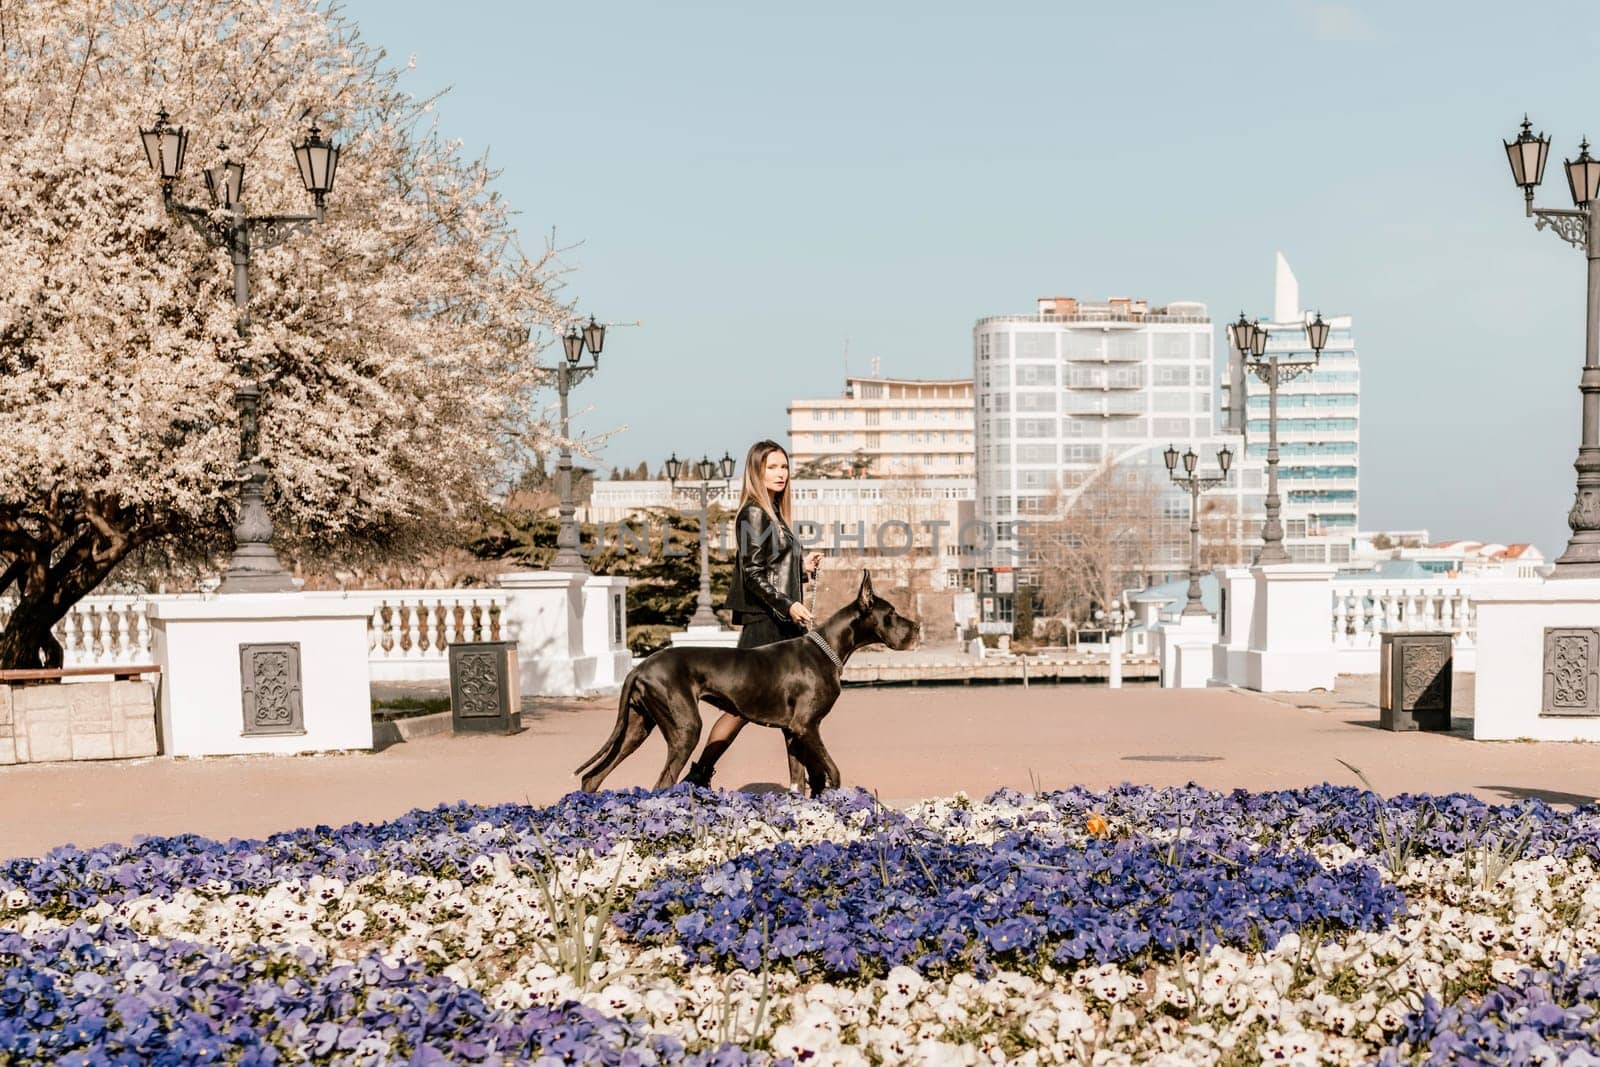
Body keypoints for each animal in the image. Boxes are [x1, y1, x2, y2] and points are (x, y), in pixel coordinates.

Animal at [582, 575, 921, 793]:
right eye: (892, 613)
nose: (917, 628)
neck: (828, 648)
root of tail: (640, 668)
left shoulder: (793, 732)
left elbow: (803, 780)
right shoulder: (806, 726)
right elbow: (832, 772)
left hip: (636, 727)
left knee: (592, 777)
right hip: (684, 728)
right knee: (661, 783)